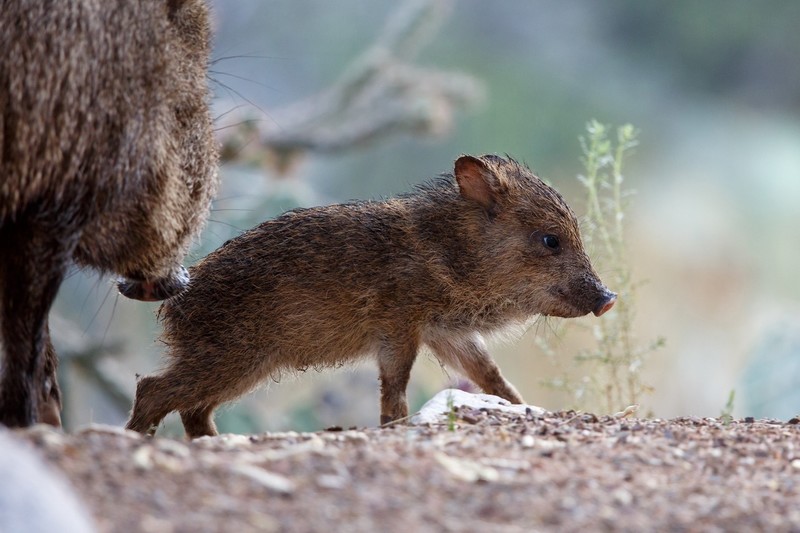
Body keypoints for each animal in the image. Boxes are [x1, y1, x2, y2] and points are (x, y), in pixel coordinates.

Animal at [126, 155, 615, 438]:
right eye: (550, 240)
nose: (608, 298)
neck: (451, 252)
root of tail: (174, 303)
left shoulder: (447, 334)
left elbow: (490, 374)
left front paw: (522, 407)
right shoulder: (400, 327)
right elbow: (396, 383)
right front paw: (395, 426)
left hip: (242, 365)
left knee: (191, 411)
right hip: (233, 357)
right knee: (153, 389)